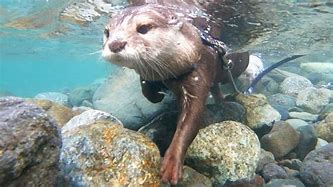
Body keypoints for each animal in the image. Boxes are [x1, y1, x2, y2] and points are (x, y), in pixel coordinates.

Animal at [101, 1, 249, 184]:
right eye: (107, 32)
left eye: (143, 28)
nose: (115, 44)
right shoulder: (148, 74)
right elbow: (145, 87)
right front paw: (156, 95)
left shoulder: (198, 73)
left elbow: (191, 120)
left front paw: (172, 163)